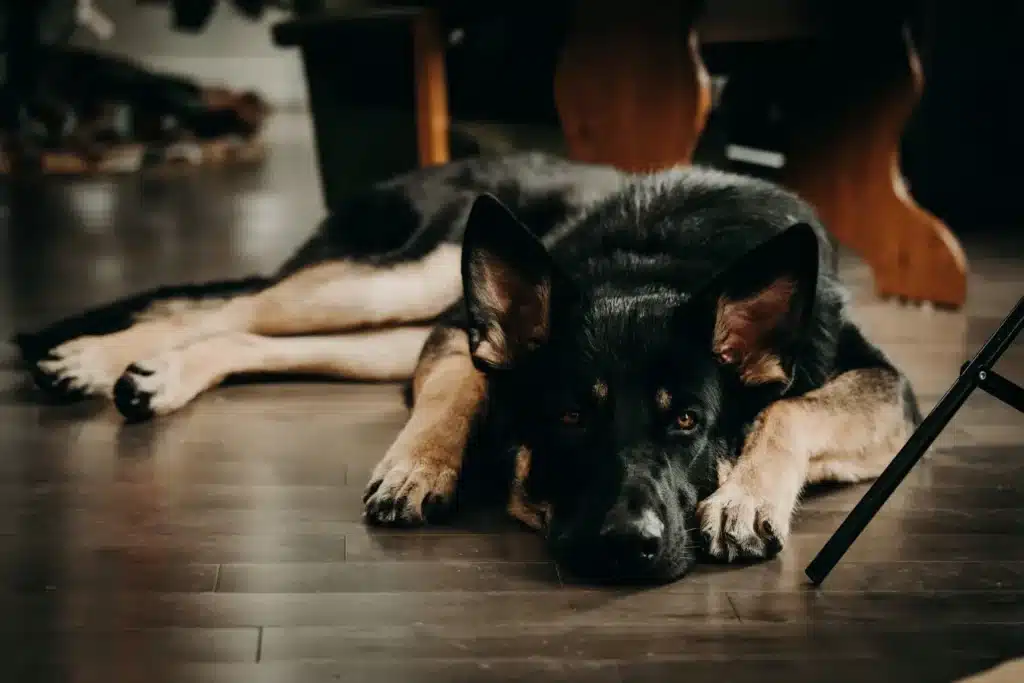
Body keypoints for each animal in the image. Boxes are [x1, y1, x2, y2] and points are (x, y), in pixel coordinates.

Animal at [12, 152, 921, 585]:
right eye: (570, 417)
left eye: (689, 422)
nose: (628, 545)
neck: (652, 266)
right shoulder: (461, 336)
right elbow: (458, 389)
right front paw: (420, 465)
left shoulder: (886, 387)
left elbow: (791, 407)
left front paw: (743, 496)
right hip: (414, 278)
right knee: (236, 306)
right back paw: (96, 357)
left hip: (393, 323)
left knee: (248, 334)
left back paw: (154, 372)